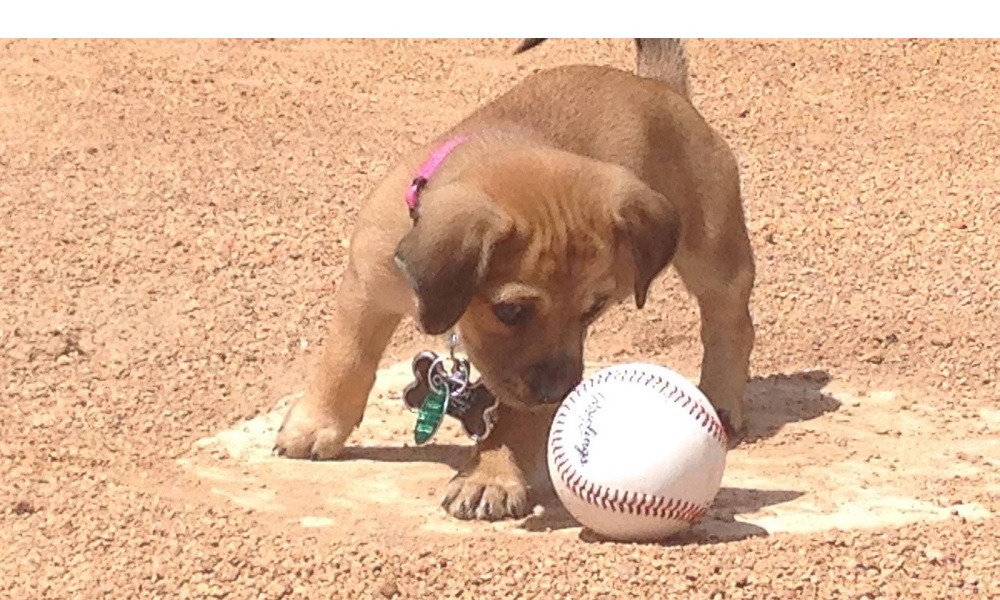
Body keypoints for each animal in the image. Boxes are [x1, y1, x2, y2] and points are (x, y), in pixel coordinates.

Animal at [270, 39, 752, 524]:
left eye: (594, 309)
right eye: (511, 311)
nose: (558, 393)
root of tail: (660, 86)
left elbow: (514, 418)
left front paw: (491, 476)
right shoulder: (367, 288)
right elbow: (345, 359)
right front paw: (316, 425)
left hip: (711, 250)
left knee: (731, 320)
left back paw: (722, 398)